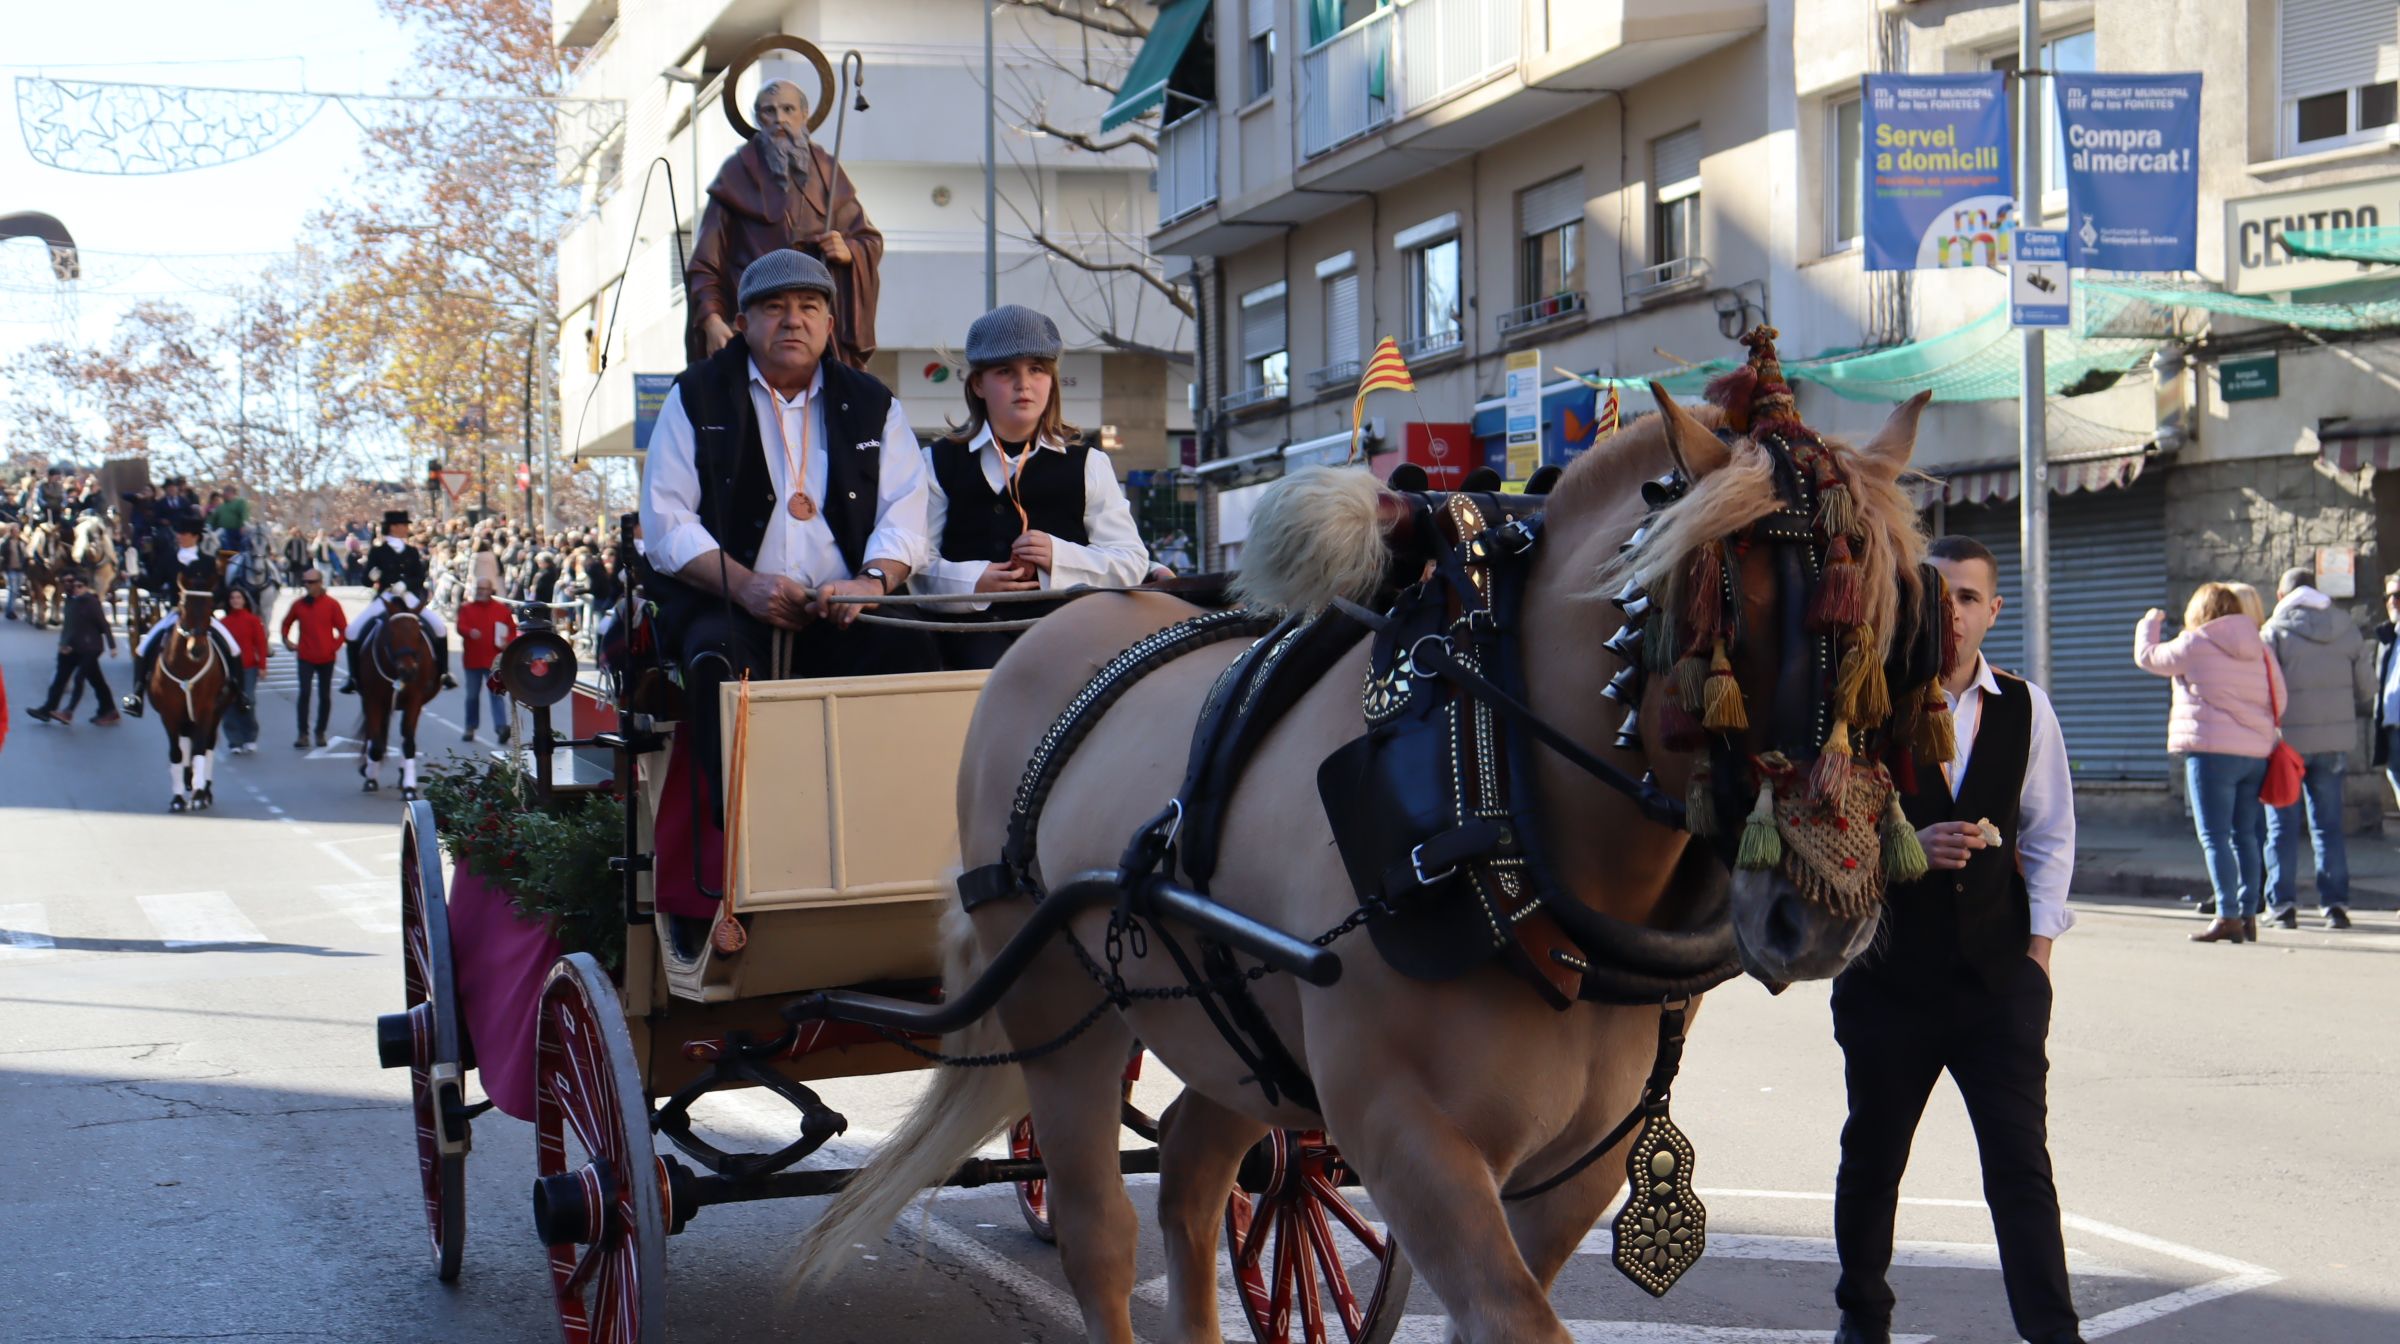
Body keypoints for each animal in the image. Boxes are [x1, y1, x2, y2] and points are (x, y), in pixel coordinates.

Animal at [152, 585, 234, 816]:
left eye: (210, 607)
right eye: (182, 606)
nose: (196, 649)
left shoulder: (205, 711)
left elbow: (200, 749)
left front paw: (198, 795)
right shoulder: (169, 715)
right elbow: (176, 753)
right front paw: (178, 798)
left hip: (215, 714)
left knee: (207, 745)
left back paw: (204, 789)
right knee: (186, 744)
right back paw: (188, 779)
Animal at [360, 597, 446, 796]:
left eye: (418, 635)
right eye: (391, 634)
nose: (408, 672)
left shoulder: (414, 700)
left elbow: (408, 740)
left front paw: (409, 787)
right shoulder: (372, 699)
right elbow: (376, 743)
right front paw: (370, 778)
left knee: (406, 735)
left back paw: (402, 773)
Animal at [796, 328, 1958, 1344]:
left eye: (1900, 625)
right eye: (1731, 614)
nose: (1824, 913)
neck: (1497, 799)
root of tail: (1048, 629)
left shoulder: (1579, 1166)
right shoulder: (1409, 1143)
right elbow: (1512, 1320)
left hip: (1236, 1038)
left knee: (1191, 1179)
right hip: (1057, 1007)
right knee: (1099, 1232)